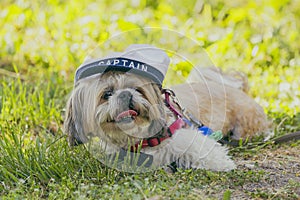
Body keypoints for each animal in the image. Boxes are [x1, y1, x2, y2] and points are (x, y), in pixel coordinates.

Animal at [63, 44, 272, 171]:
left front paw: (222, 164)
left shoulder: (190, 139)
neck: (139, 140)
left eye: (137, 89)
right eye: (107, 94)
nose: (125, 94)